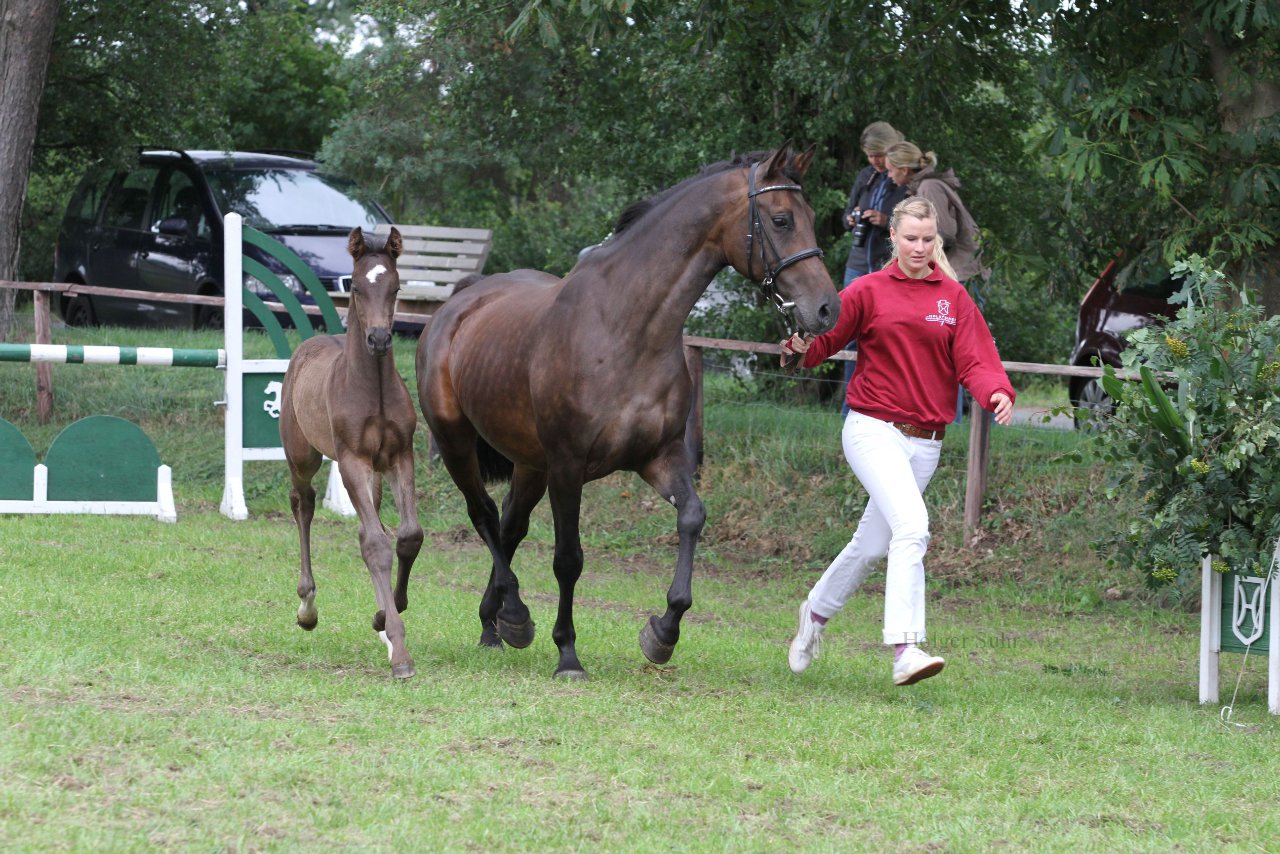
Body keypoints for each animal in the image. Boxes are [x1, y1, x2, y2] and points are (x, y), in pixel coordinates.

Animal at [280, 229, 424, 681]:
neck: (372, 388)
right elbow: (376, 544)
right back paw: (307, 607)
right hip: (303, 457)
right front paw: (400, 651)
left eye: (395, 287)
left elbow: (407, 536)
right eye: (357, 288)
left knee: (368, 523)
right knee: (303, 504)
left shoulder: (399, 456)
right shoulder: (351, 461)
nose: (378, 339)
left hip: (374, 472)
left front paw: (386, 617)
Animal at [417, 142, 839, 681]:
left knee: (510, 526)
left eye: (812, 218)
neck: (626, 328)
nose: (826, 309)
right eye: (782, 219)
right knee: (484, 516)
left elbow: (692, 518)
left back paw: (496, 625)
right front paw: (568, 654)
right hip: (457, 443)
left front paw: (663, 633)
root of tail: (460, 302)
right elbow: (568, 558)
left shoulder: (659, 457)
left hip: (530, 464)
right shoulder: (569, 466)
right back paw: (514, 614)